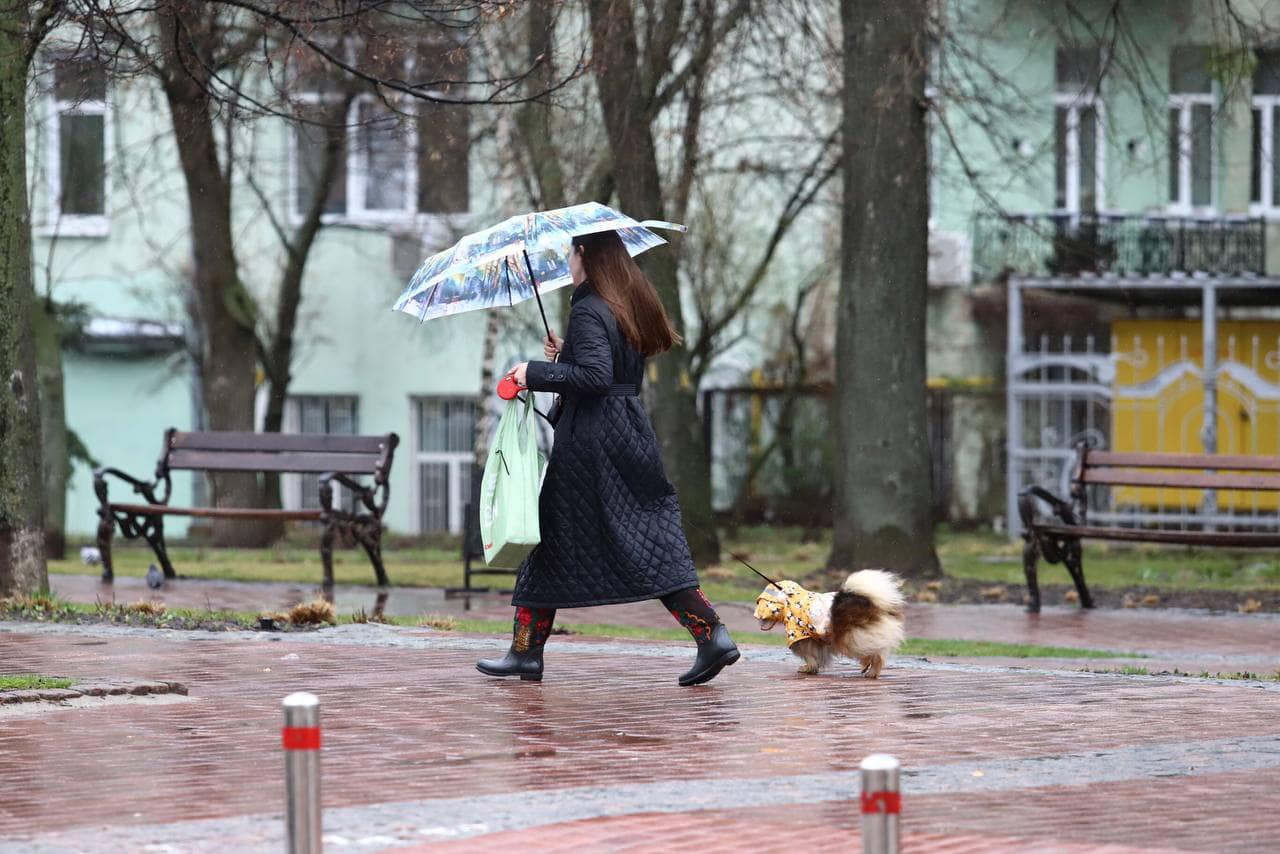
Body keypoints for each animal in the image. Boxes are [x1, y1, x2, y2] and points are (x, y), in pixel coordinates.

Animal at [752, 571, 906, 676]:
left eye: (761, 603)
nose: (756, 616)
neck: (789, 601)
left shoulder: (801, 637)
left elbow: (809, 656)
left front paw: (807, 668)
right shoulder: (817, 639)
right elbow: (817, 656)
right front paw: (813, 668)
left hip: (850, 636)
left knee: (872, 652)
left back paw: (868, 667)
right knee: (878, 651)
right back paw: (871, 671)